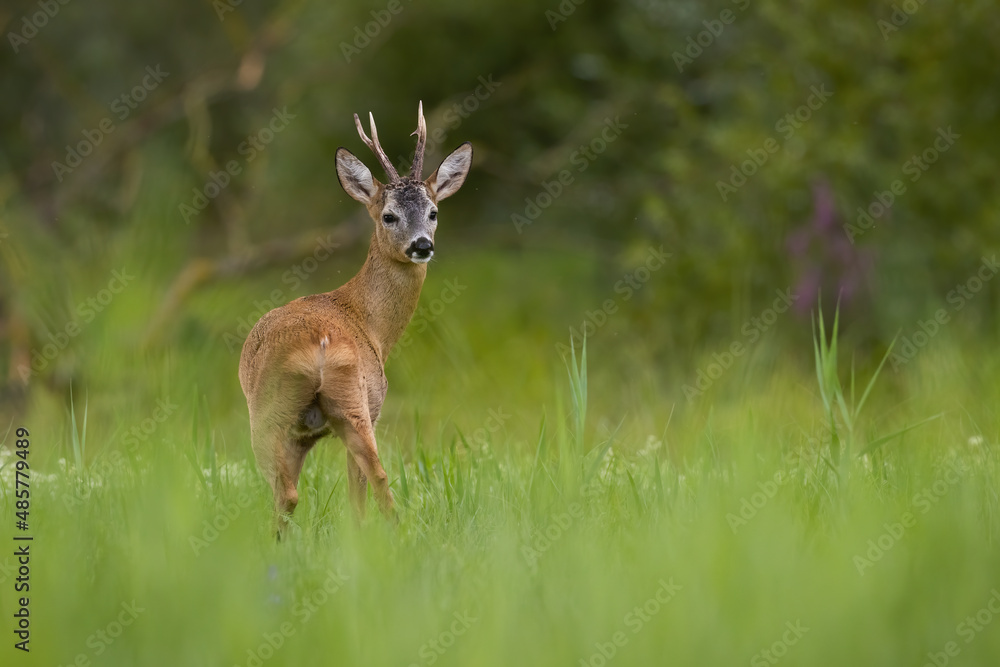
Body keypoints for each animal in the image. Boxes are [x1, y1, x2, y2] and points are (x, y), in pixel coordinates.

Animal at [238, 102, 473, 536]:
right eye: (389, 216)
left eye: (433, 212)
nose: (422, 245)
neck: (370, 323)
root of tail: (319, 346)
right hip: (343, 408)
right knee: (367, 482)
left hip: (282, 410)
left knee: (291, 492)